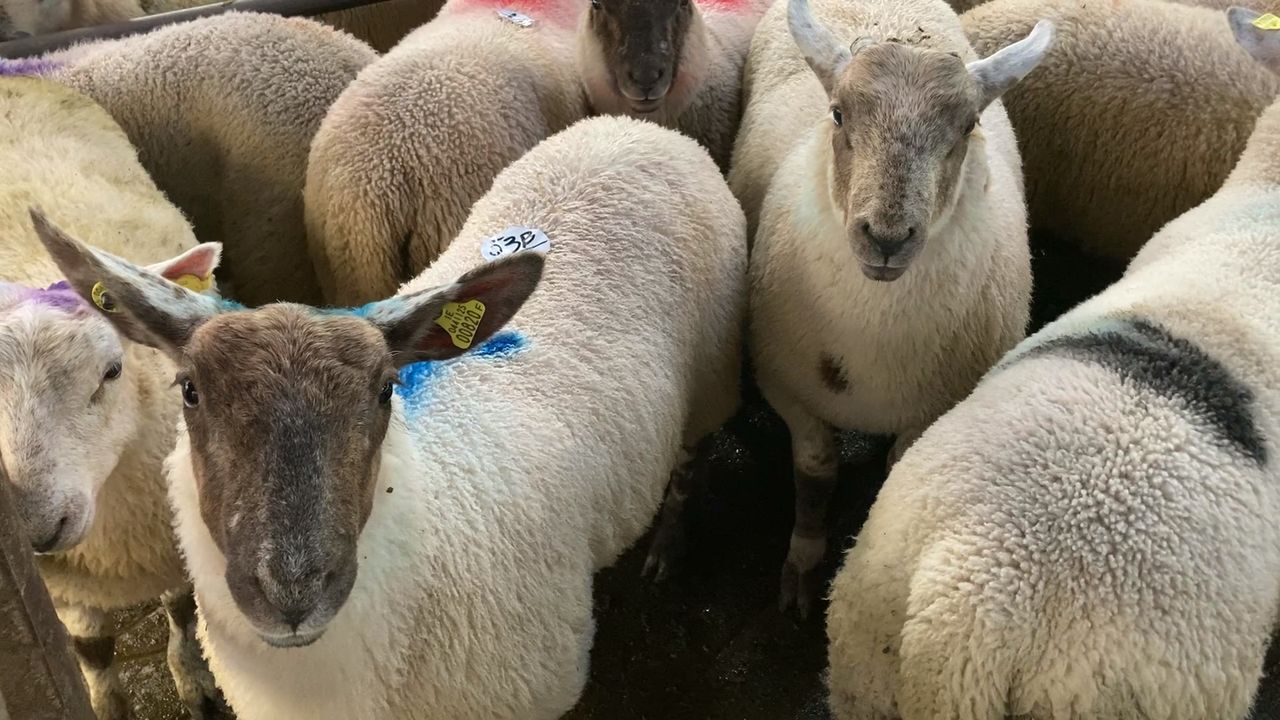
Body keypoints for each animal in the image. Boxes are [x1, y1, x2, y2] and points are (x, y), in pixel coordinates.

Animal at [0, 76, 226, 720]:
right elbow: (92, 652)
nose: (32, 531)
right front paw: (106, 702)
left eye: (112, 370)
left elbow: (181, 610)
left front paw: (193, 682)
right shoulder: (63, 591)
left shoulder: (172, 536)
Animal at [34, 114, 747, 720]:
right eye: (189, 391)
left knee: (689, 466)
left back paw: (665, 549)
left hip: (711, 384)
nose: (291, 593)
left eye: (385, 390)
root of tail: (636, 126)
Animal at [724, 0, 1052, 618]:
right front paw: (803, 566)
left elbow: (892, 478)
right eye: (837, 115)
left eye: (967, 127)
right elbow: (815, 477)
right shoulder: (788, 388)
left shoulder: (931, 411)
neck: (872, 335)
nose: (886, 238)